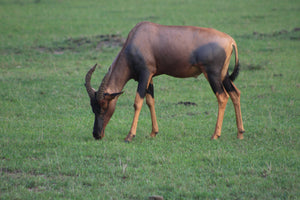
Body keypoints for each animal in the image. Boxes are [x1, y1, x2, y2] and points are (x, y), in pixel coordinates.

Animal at [84, 21, 244, 141]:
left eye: (104, 106)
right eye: (92, 107)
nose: (96, 134)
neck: (137, 37)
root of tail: (231, 41)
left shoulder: (144, 74)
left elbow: (137, 102)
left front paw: (129, 136)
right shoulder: (150, 77)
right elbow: (150, 101)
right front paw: (153, 133)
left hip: (212, 75)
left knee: (222, 97)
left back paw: (215, 135)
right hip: (223, 75)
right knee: (235, 93)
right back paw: (240, 133)